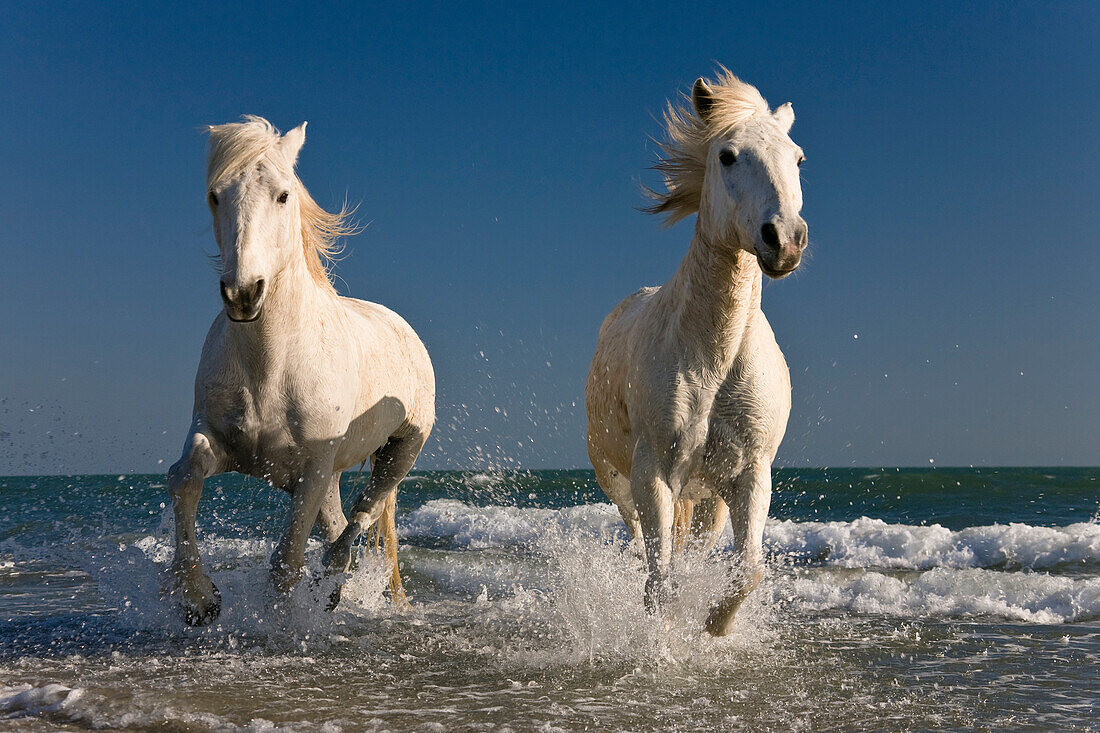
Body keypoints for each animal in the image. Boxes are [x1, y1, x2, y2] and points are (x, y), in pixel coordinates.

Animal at [167, 114, 433, 620]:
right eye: (215, 195)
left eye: (283, 195)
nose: (243, 293)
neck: (271, 367)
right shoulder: (216, 439)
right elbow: (183, 478)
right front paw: (199, 599)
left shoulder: (313, 467)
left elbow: (285, 564)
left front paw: (282, 626)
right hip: (327, 477)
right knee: (340, 520)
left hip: (401, 450)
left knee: (363, 513)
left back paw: (332, 580)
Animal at [585, 71, 809, 638]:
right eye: (727, 156)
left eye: (798, 159)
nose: (785, 240)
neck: (715, 359)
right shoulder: (654, 476)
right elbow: (659, 582)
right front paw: (663, 641)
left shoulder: (750, 476)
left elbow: (747, 569)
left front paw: (712, 630)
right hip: (619, 483)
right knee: (642, 547)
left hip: (709, 500)